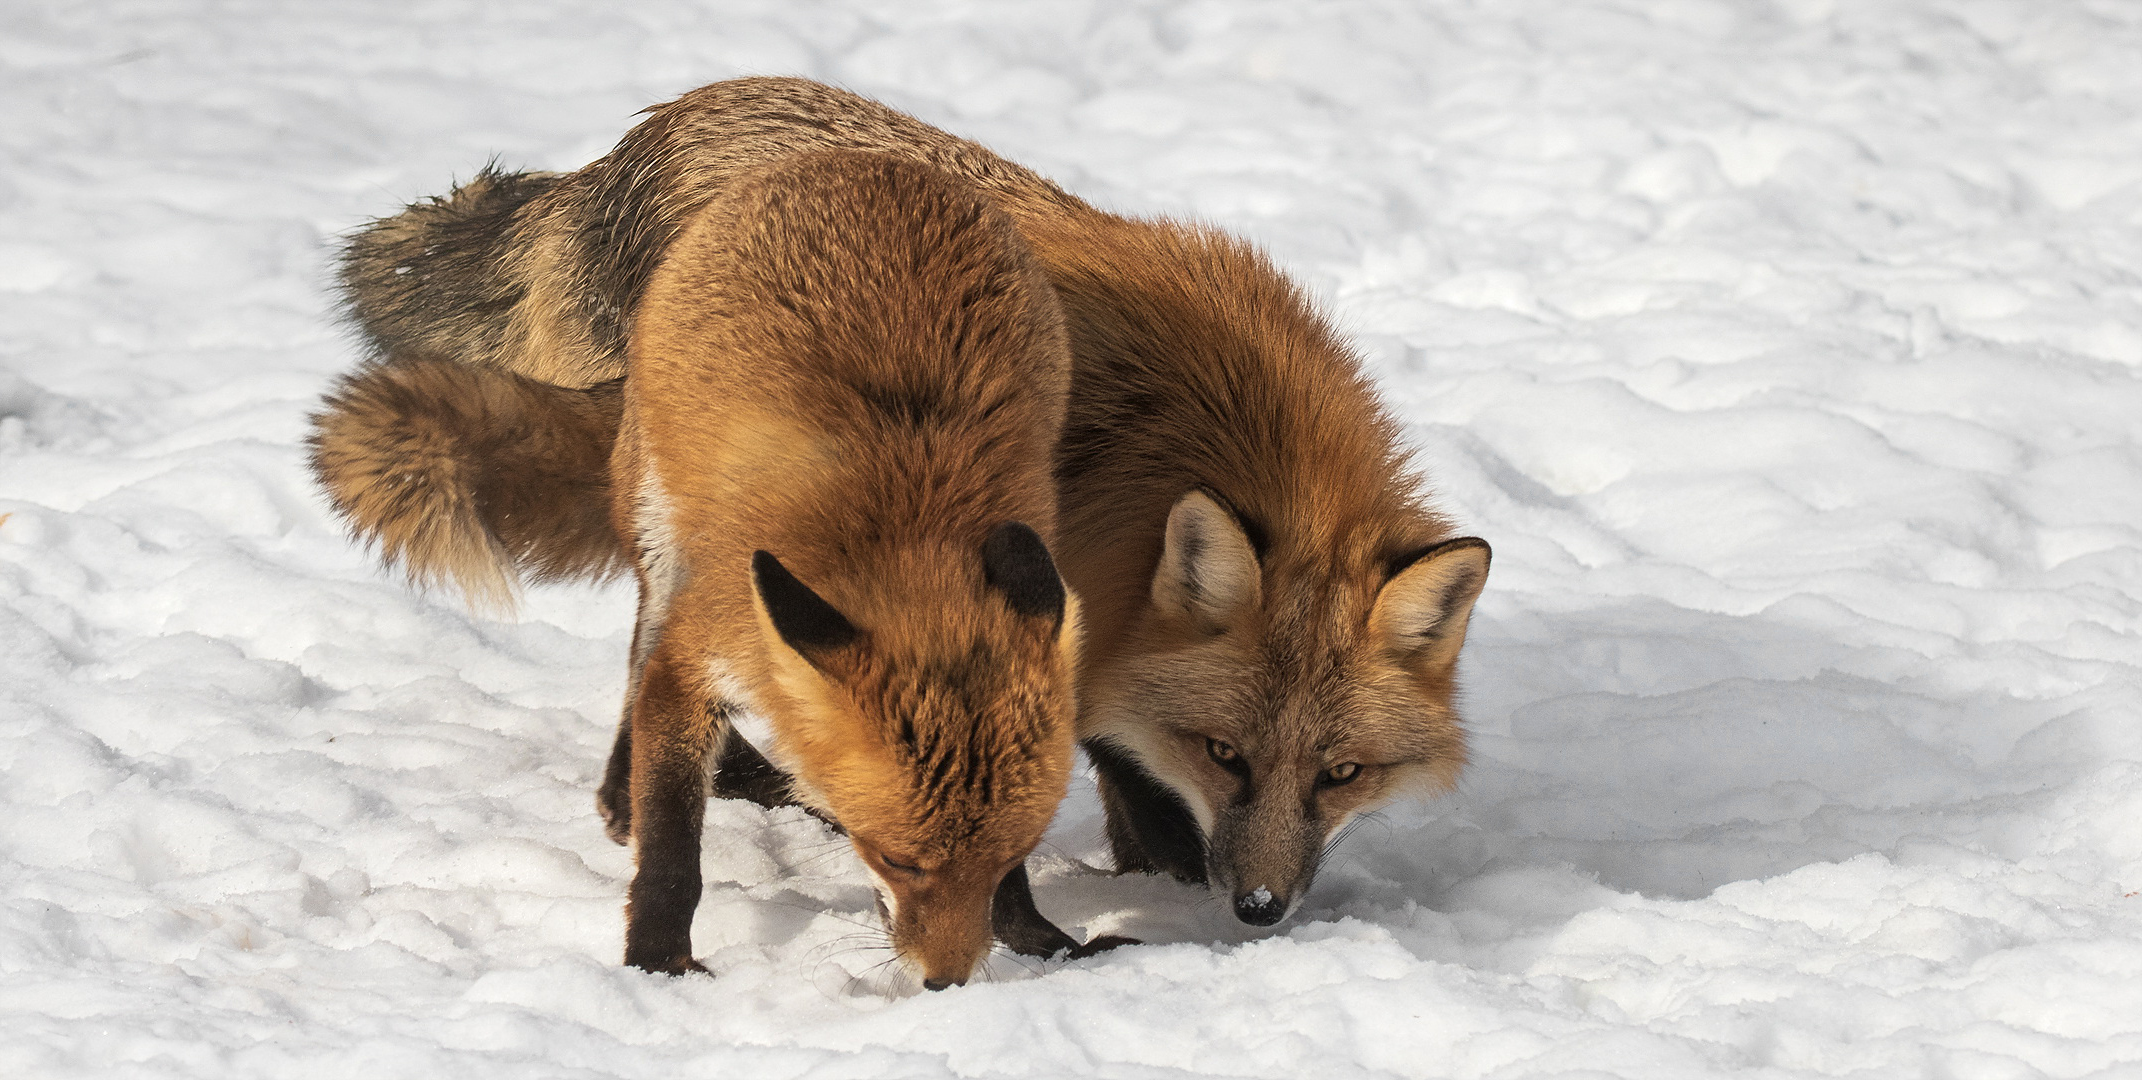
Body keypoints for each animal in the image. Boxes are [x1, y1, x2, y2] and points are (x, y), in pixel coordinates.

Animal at [312, 78, 1490, 938]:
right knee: (639, 738)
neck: (1159, 433)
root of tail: (638, 142)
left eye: (1343, 774)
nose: (1259, 910)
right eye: (1226, 755)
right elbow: (1113, 757)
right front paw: (1144, 869)